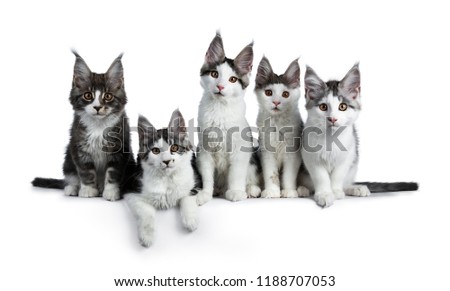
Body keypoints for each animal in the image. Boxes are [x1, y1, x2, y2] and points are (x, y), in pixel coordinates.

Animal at [31, 51, 135, 202]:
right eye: (88, 95)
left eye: (108, 96)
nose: (97, 107)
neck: (98, 126)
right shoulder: (79, 146)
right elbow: (86, 171)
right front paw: (88, 190)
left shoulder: (119, 149)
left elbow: (112, 173)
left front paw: (111, 192)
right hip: (68, 158)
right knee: (71, 176)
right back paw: (72, 189)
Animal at [124, 110, 200, 248]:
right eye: (155, 151)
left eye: (174, 147)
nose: (167, 161)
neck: (167, 178)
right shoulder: (130, 190)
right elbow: (146, 212)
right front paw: (147, 237)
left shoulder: (196, 180)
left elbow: (186, 198)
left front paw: (191, 221)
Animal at [196, 32, 262, 205]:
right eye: (214, 74)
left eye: (232, 79)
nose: (220, 86)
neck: (220, 109)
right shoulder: (204, 151)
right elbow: (207, 176)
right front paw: (205, 194)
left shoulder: (241, 151)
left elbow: (236, 174)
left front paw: (236, 192)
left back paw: (250, 189)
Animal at [298, 64, 418, 208]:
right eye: (323, 107)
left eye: (342, 106)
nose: (332, 119)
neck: (331, 139)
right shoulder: (311, 157)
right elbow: (321, 177)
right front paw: (325, 194)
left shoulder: (349, 155)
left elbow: (338, 175)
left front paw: (335, 191)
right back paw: (302, 189)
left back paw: (356, 188)